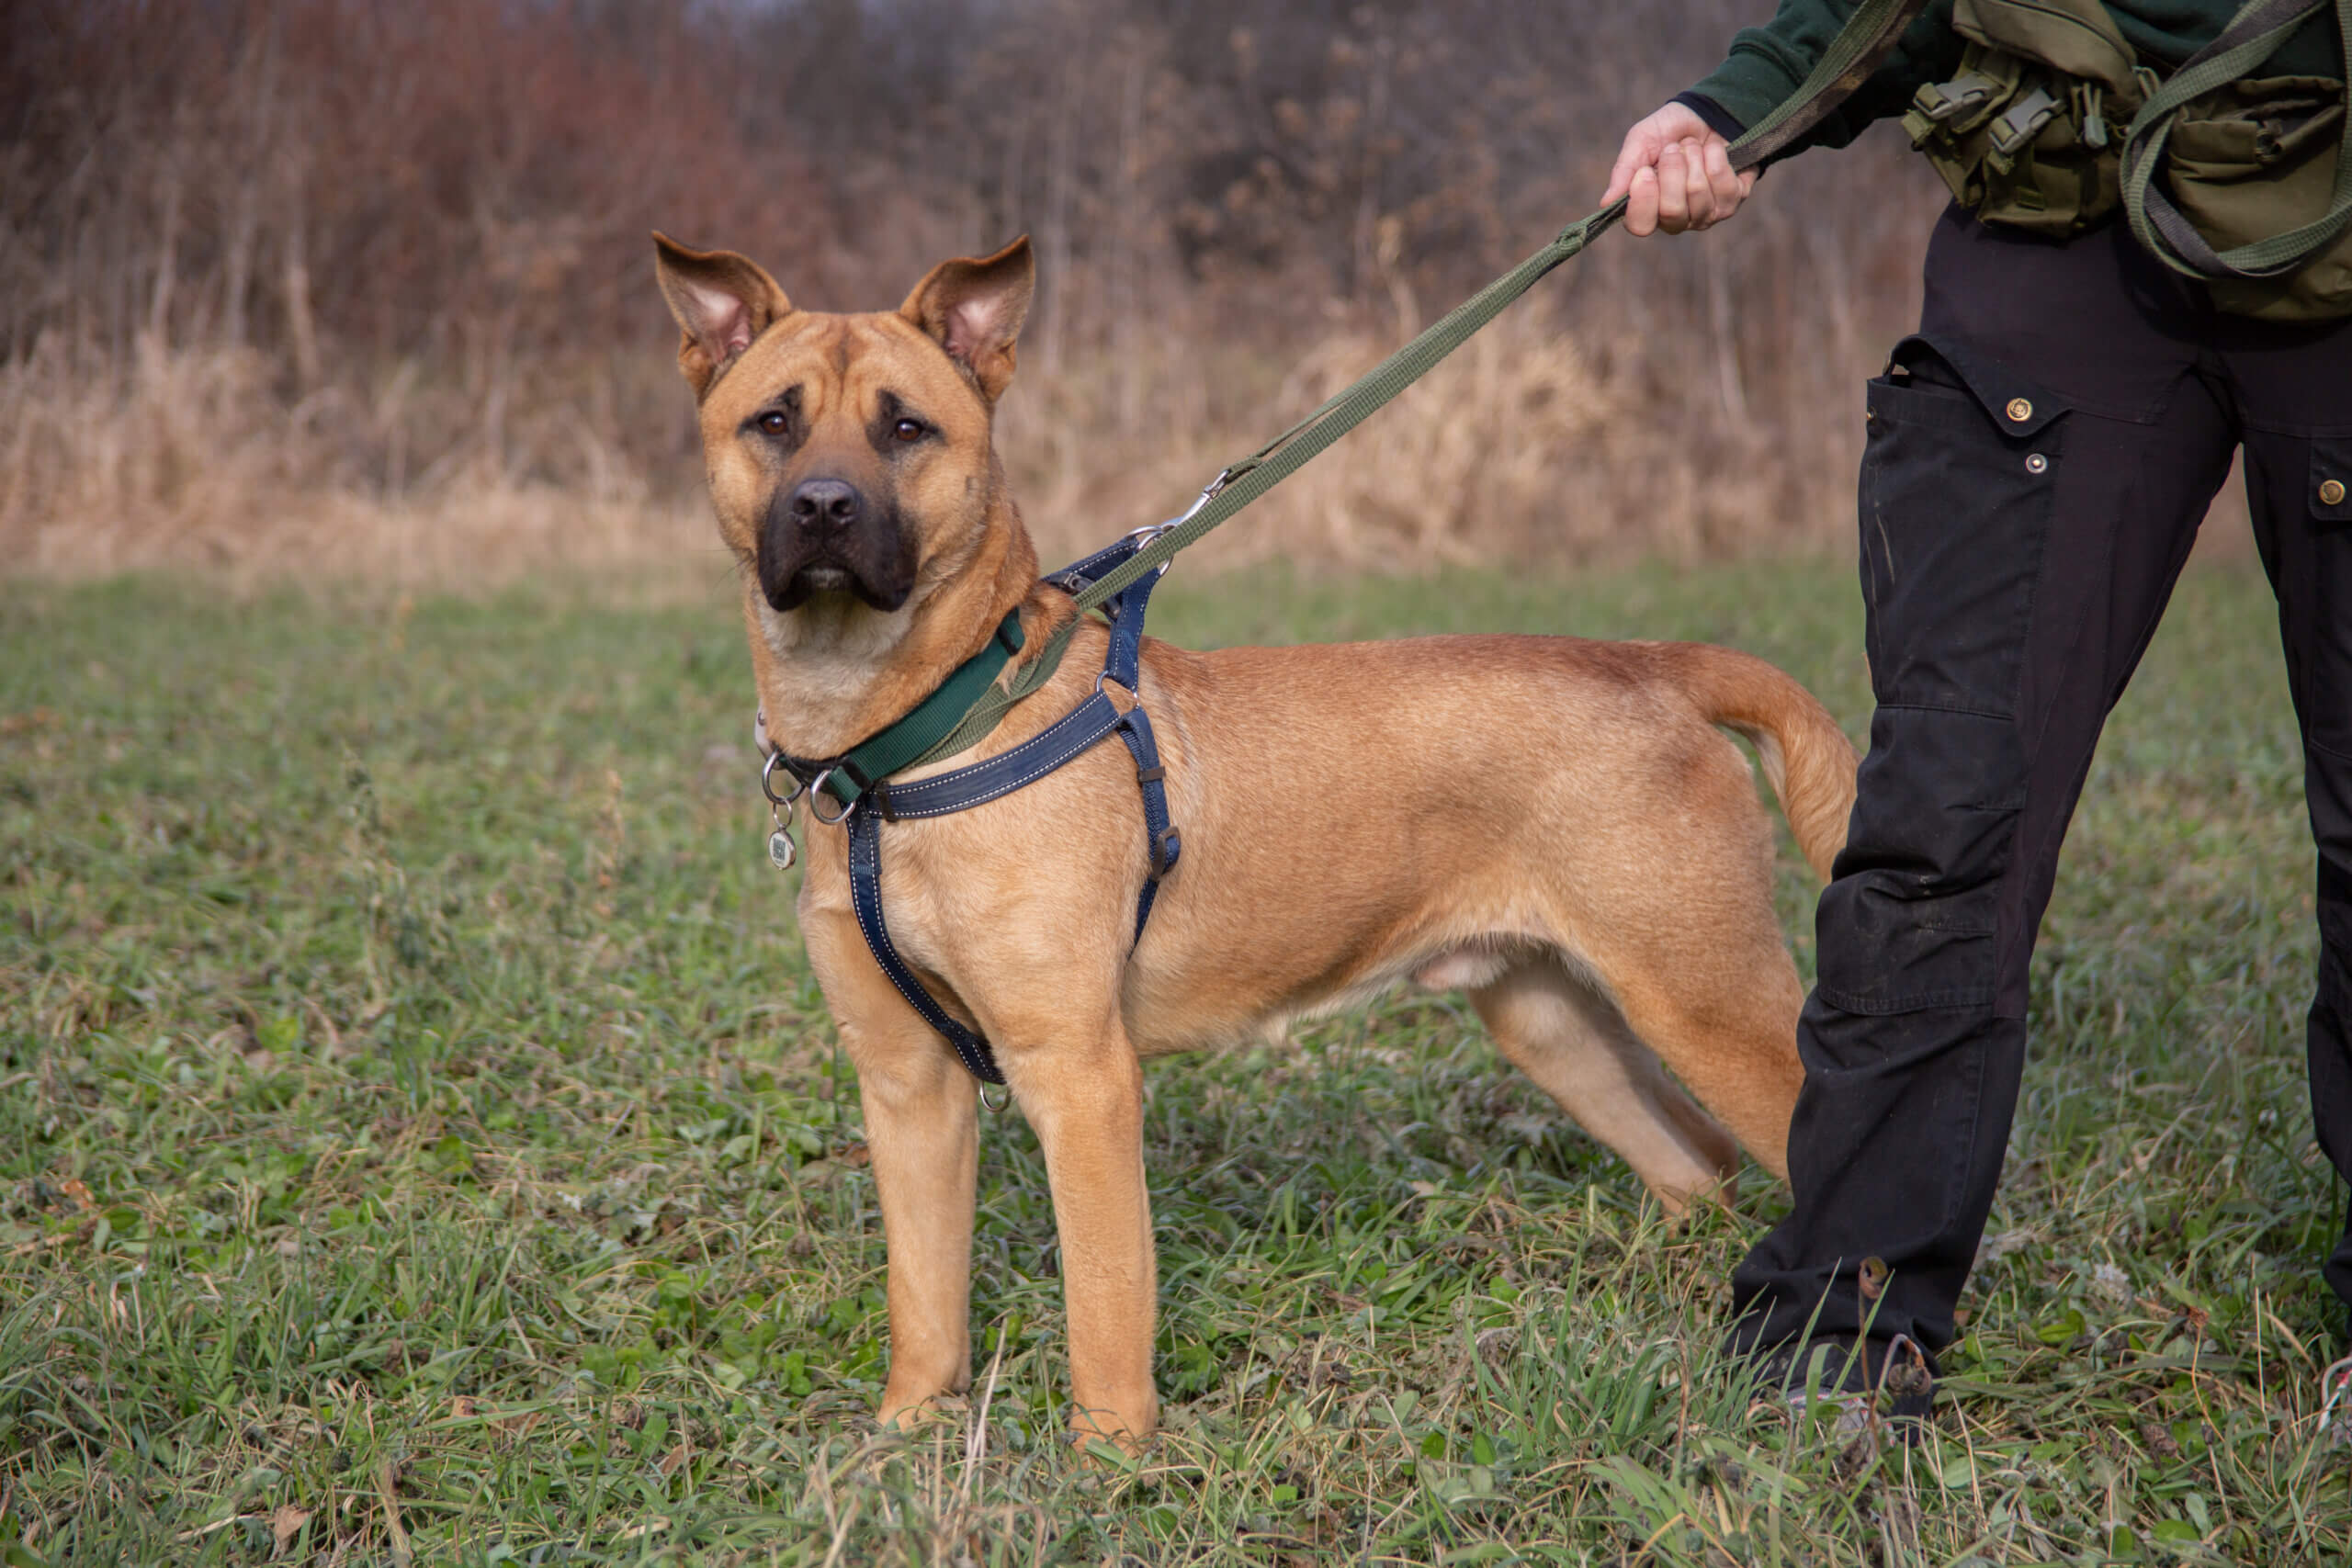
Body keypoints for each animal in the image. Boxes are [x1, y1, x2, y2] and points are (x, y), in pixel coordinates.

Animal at [649, 226, 1853, 1457]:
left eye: (906, 429)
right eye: (774, 422)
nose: (825, 509)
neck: (916, 745)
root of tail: (1656, 663)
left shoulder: (1077, 1075)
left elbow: (1106, 1300)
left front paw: (1109, 1463)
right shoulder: (906, 1084)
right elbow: (923, 1298)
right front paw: (904, 1443)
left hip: (1709, 1004)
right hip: (1553, 1018)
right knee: (1698, 1168)